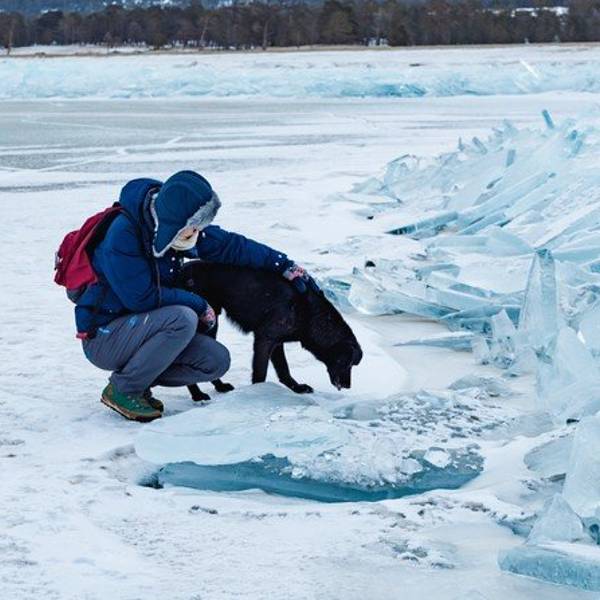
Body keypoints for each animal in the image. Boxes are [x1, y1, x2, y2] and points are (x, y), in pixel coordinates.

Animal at [179, 260, 363, 401]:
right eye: (347, 363)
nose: (348, 386)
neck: (310, 313)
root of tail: (179, 271)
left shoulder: (276, 342)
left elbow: (284, 370)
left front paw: (297, 388)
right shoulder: (264, 339)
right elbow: (261, 373)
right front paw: (258, 393)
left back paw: (220, 386)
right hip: (208, 323)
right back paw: (197, 395)